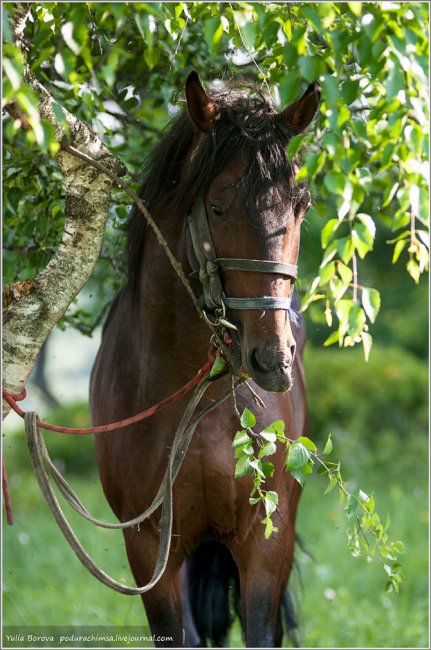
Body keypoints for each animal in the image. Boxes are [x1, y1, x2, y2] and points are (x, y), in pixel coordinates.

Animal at [91, 73, 320, 644]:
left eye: (300, 207)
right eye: (217, 207)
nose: (272, 358)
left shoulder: (267, 542)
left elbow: (261, 631)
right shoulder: (149, 547)